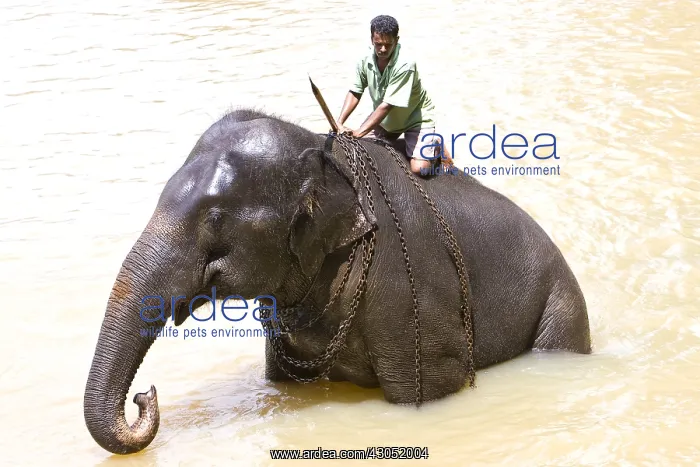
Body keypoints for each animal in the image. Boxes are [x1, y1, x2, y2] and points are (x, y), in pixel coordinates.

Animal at [83, 108, 591, 455]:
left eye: (215, 221)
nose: (145, 395)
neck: (321, 156)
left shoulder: (416, 301)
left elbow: (433, 383)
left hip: (562, 306)